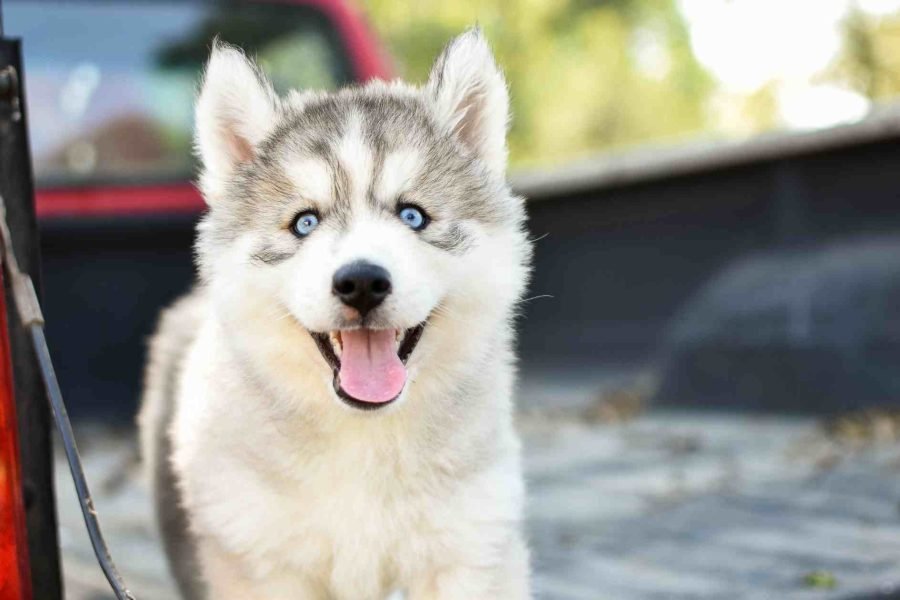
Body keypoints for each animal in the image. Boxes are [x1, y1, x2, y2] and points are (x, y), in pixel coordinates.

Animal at [140, 29, 532, 600]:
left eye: (413, 216)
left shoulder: (467, 549)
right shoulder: (263, 563)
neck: (363, 434)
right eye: (304, 223)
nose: (362, 281)